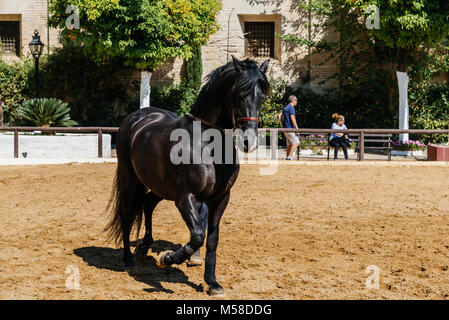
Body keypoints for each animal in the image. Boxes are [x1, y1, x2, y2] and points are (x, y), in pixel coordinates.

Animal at [107, 56, 268, 296]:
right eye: (240, 94)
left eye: (263, 97)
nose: (250, 142)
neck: (207, 144)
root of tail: (136, 117)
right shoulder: (186, 198)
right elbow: (198, 236)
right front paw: (166, 258)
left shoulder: (220, 199)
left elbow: (211, 240)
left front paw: (213, 283)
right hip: (130, 180)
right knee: (127, 214)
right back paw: (129, 261)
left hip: (161, 187)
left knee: (147, 203)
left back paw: (144, 247)